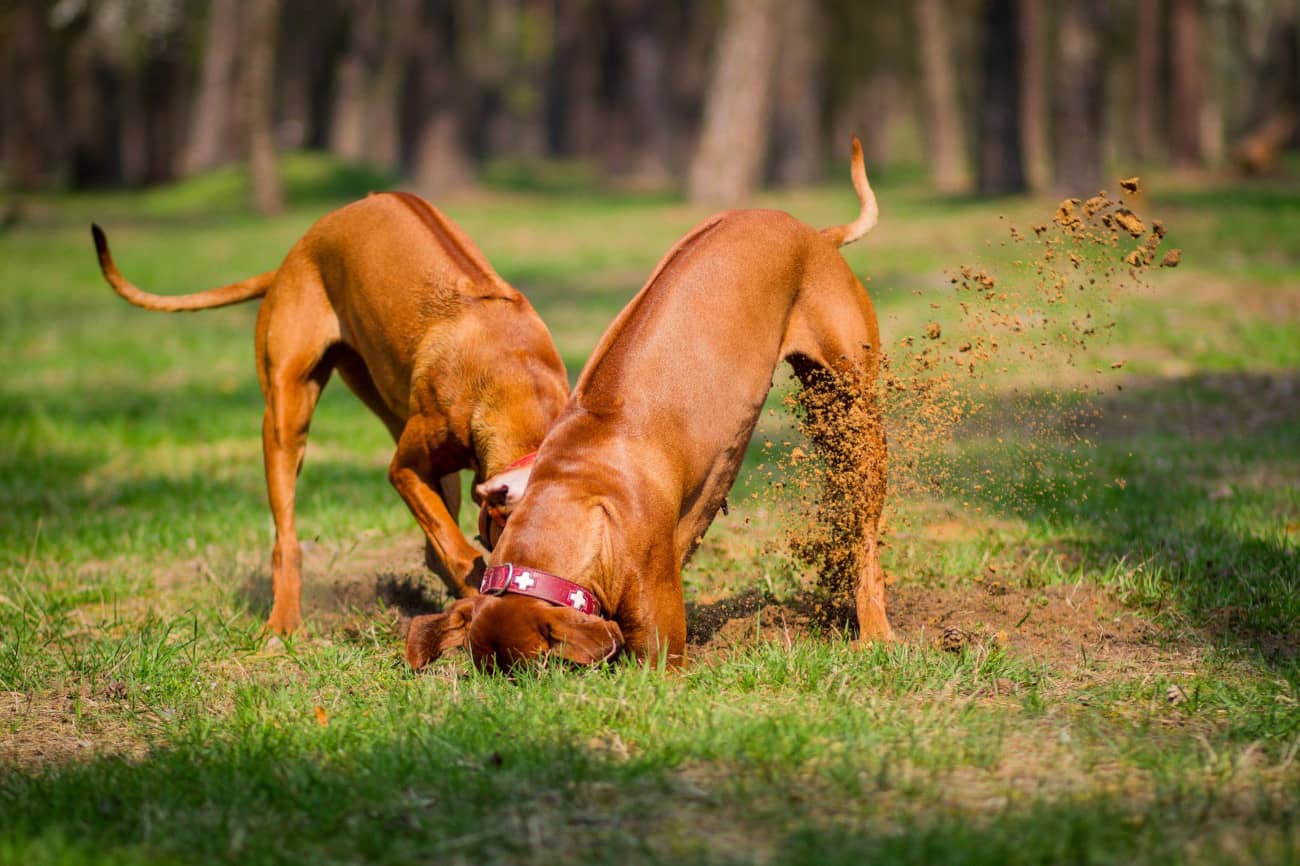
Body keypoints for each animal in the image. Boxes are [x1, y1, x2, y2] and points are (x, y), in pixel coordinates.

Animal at [94, 192, 572, 631]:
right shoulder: (406, 469)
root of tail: (292, 257)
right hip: (287, 416)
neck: (518, 382)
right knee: (286, 540)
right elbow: (456, 547)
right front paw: (471, 596)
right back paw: (283, 623)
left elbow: (445, 536)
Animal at [405, 139, 894, 665]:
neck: (577, 488)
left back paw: (875, 629)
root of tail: (816, 236)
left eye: (535, 672)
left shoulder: (658, 638)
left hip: (855, 418)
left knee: (865, 532)